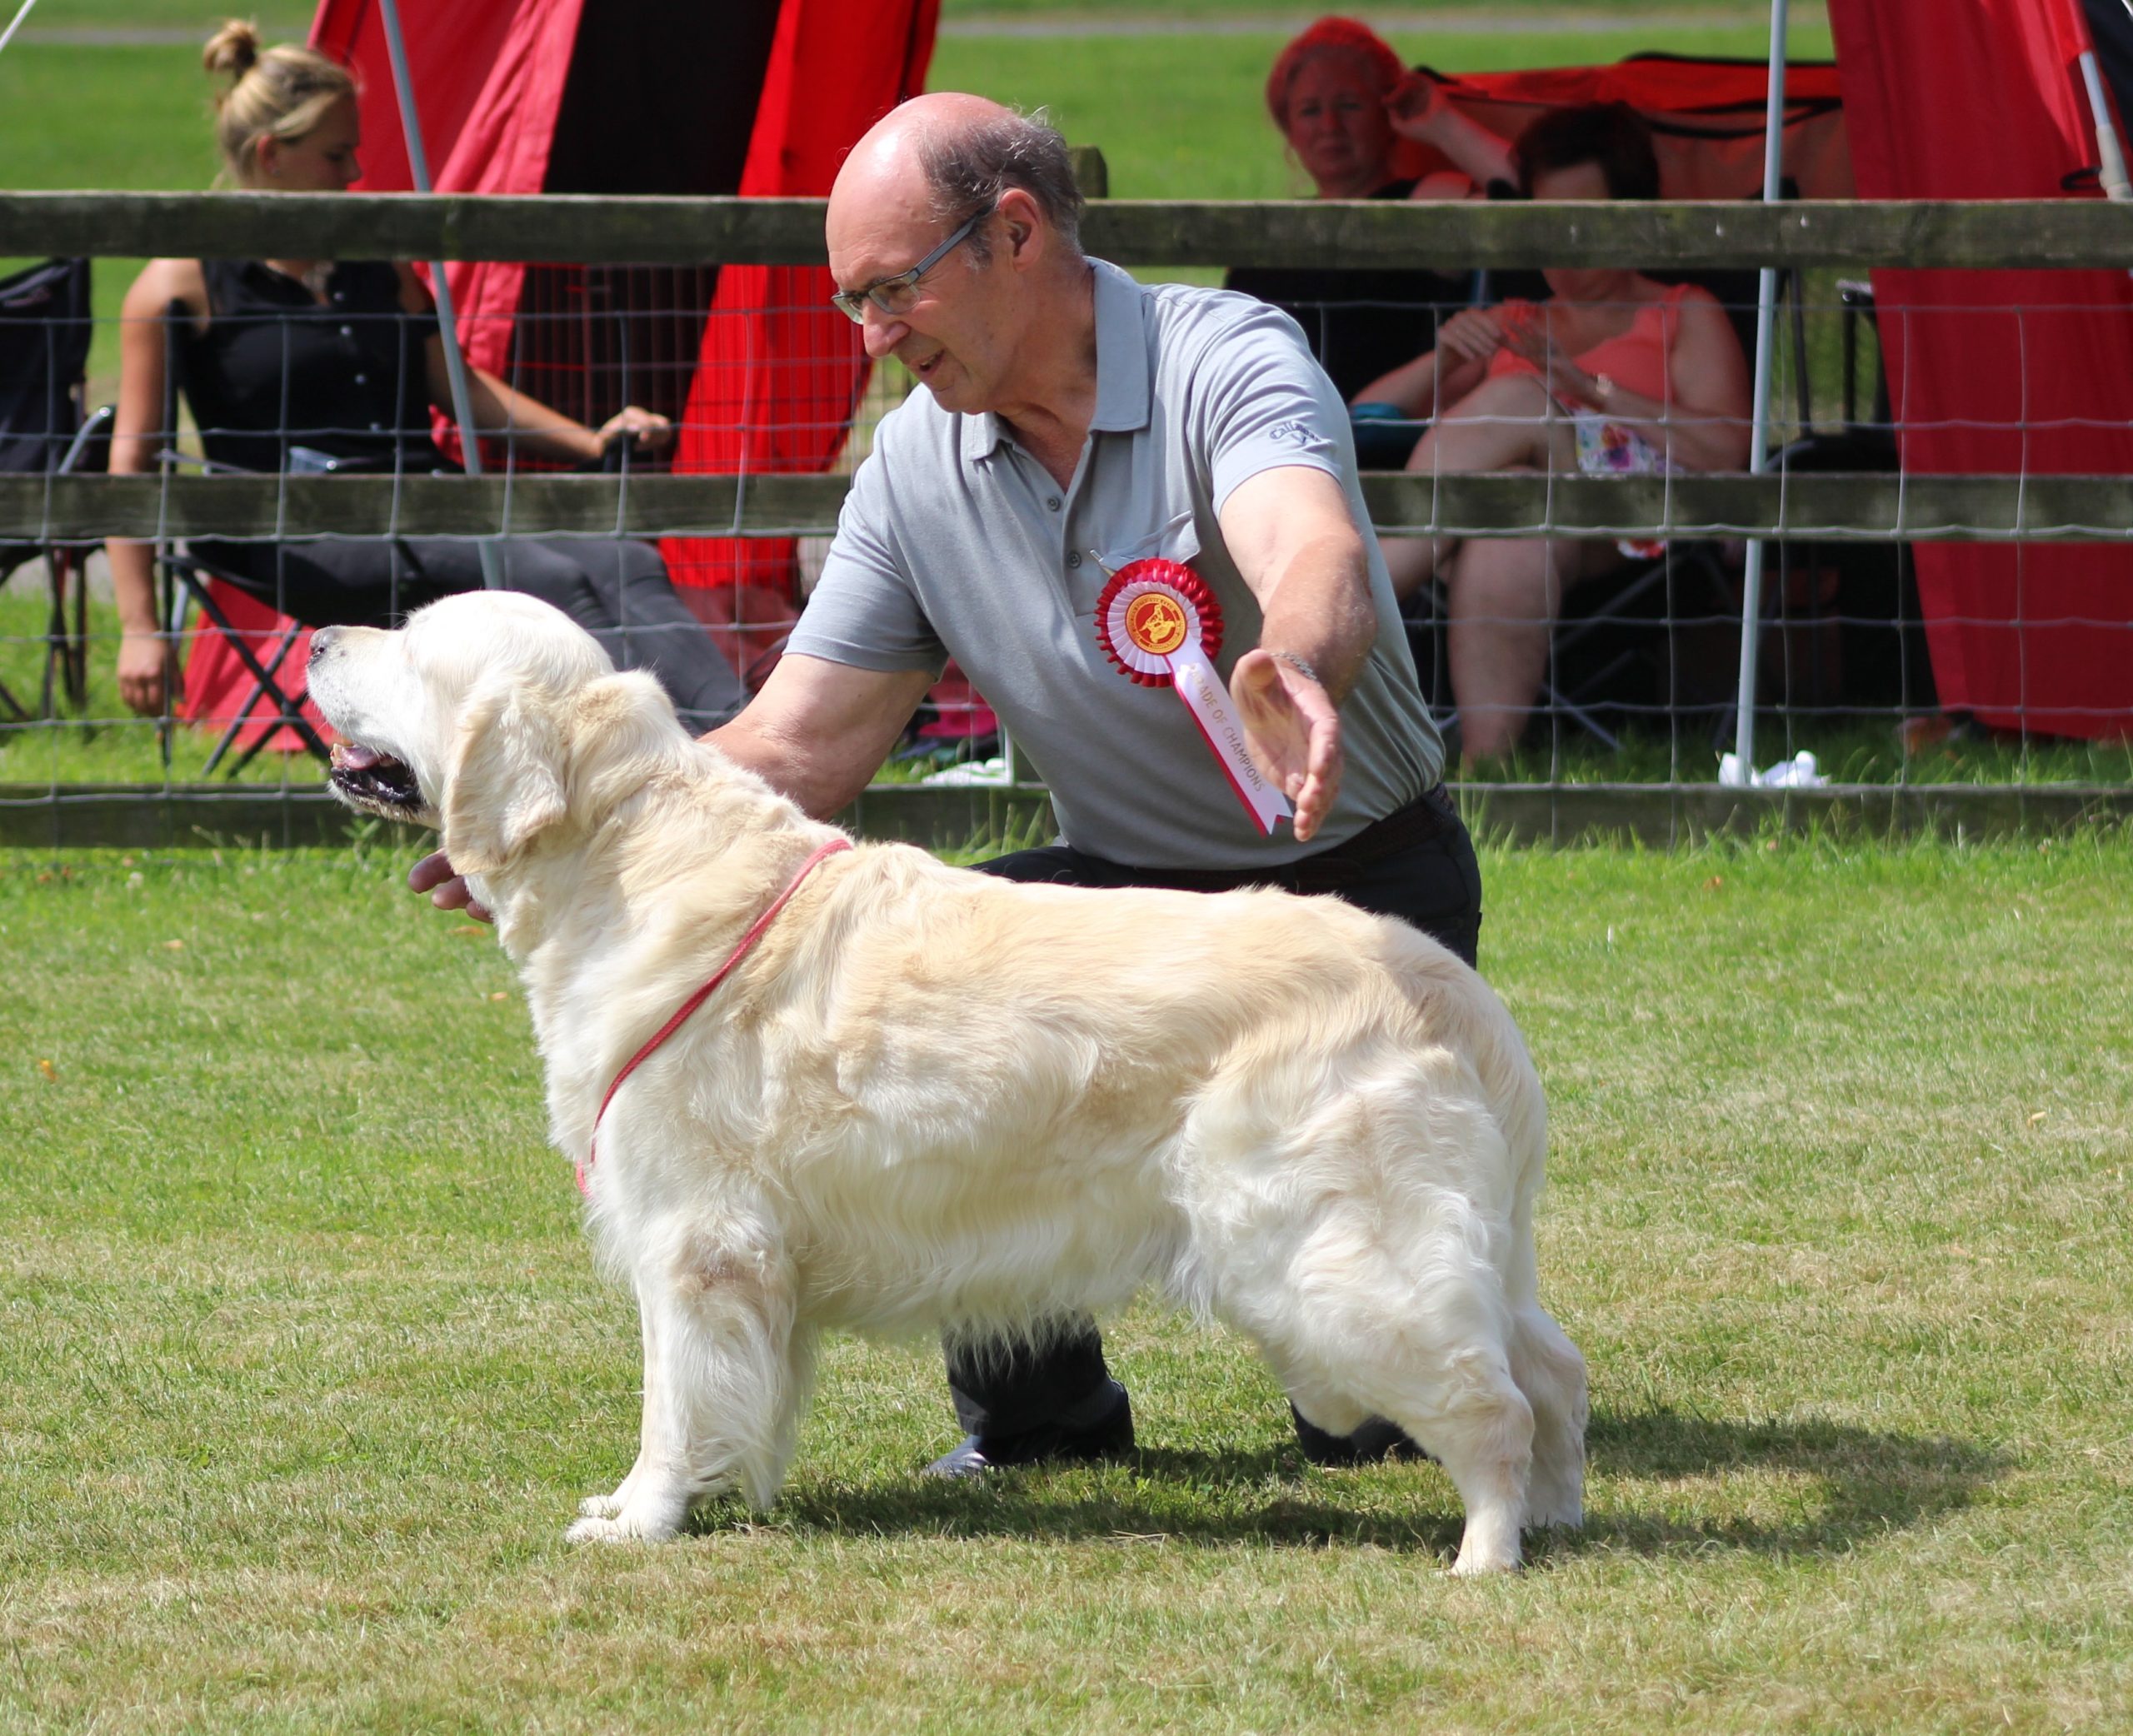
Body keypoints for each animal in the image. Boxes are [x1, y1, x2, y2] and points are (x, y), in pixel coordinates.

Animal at [309, 590, 1586, 1574]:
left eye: (411, 643)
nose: (316, 635)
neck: (621, 860)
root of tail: (1441, 980)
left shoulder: (695, 1240)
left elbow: (672, 1404)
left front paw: (643, 1520)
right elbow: (735, 1398)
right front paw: (684, 1498)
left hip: (1334, 1261)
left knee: (1496, 1405)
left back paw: (1487, 1555)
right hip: (1461, 1247)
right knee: (1552, 1371)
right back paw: (1559, 1520)